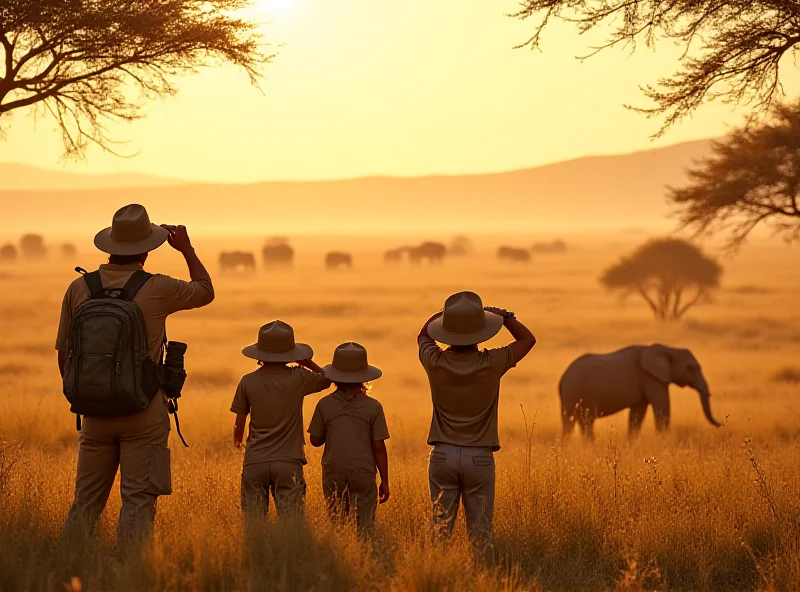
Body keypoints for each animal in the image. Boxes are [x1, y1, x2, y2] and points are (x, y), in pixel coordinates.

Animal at [560, 342, 720, 440]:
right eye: (690, 368)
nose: (721, 424)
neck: (669, 349)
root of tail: (562, 379)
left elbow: (637, 416)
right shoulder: (650, 378)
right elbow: (662, 409)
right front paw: (663, 442)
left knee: (577, 422)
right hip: (573, 392)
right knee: (578, 421)